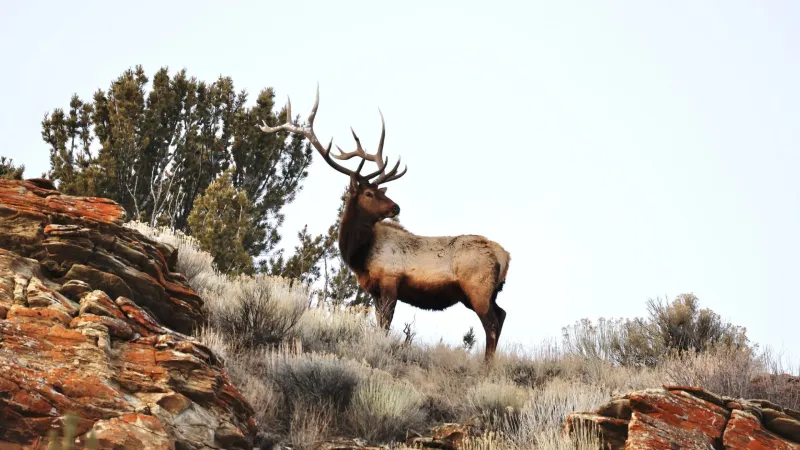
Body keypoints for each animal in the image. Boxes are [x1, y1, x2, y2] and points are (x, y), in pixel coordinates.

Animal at [259, 86, 511, 360]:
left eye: (379, 191)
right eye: (370, 193)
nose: (396, 207)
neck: (360, 255)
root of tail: (505, 256)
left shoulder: (391, 281)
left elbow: (386, 325)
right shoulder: (374, 291)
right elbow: (380, 323)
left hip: (477, 288)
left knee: (491, 324)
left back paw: (487, 364)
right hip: (486, 293)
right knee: (502, 314)